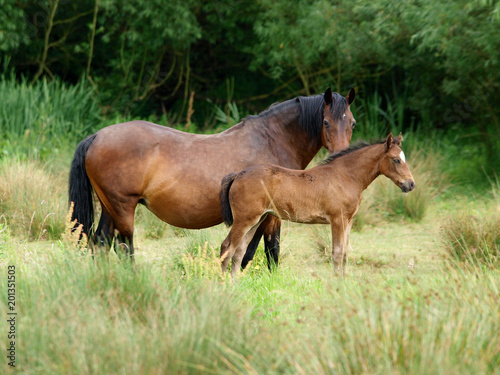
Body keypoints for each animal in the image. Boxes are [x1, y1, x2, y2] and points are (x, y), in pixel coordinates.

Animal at [221, 134, 416, 278]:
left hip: (256, 220)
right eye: (396, 160)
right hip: (245, 219)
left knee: (238, 251)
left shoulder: (349, 221)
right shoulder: (338, 220)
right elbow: (337, 253)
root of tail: (238, 175)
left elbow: (345, 254)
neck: (346, 176)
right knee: (227, 247)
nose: (410, 184)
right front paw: (337, 283)